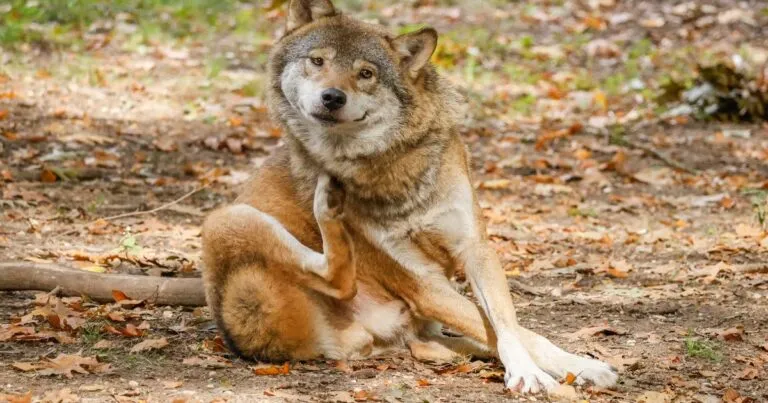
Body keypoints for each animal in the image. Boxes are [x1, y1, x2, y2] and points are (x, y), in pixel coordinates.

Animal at [201, 0, 618, 393]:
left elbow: (509, 327)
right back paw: (327, 203)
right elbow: (510, 331)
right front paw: (543, 372)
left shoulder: (475, 250)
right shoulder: (423, 283)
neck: (392, 168)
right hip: (225, 218)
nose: (332, 97)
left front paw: (573, 367)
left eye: (365, 73)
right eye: (317, 61)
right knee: (340, 278)